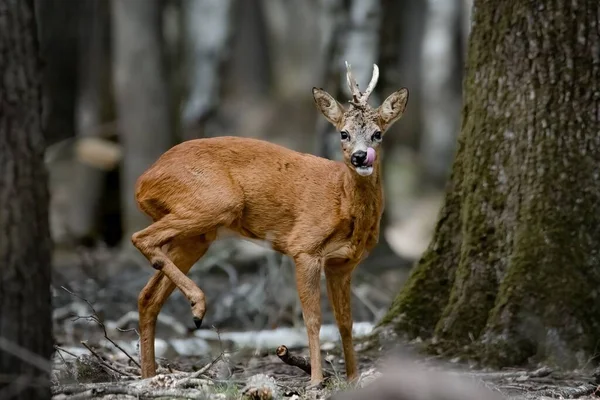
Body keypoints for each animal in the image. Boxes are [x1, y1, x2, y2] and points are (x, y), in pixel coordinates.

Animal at [132, 61, 410, 384]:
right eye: (343, 133)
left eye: (378, 134)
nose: (360, 157)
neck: (342, 200)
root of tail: (143, 180)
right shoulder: (304, 248)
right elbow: (313, 320)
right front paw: (316, 380)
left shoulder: (343, 263)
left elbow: (345, 322)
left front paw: (353, 378)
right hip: (216, 202)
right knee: (140, 238)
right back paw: (198, 307)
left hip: (197, 236)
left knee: (147, 296)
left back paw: (148, 375)